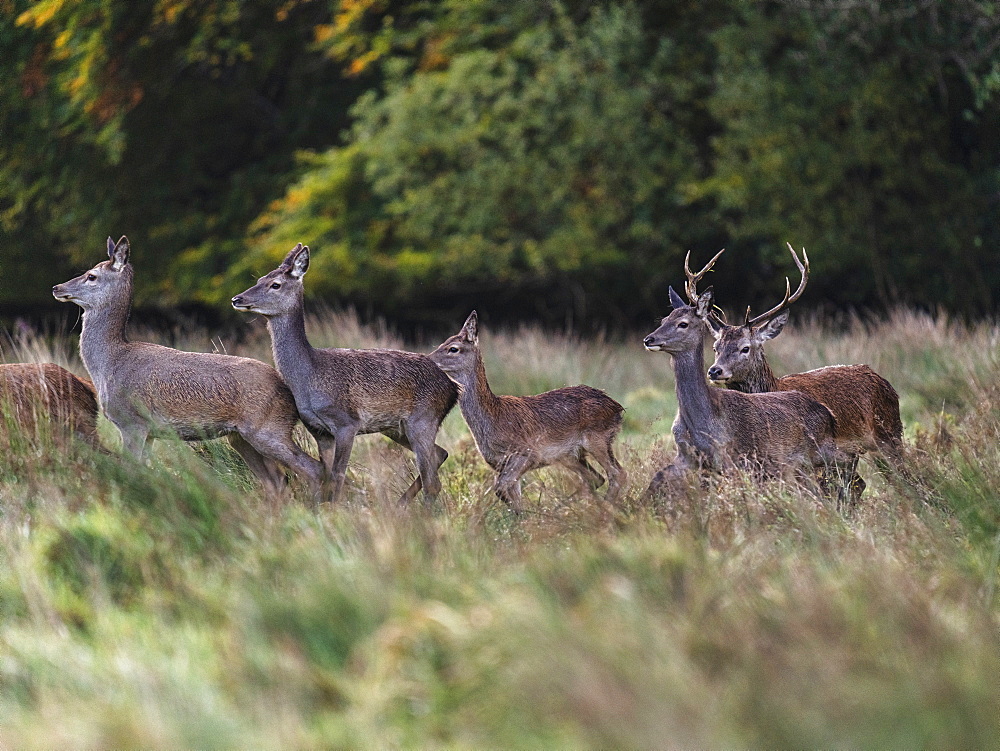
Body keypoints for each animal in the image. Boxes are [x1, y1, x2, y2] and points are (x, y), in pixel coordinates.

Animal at [230, 244, 458, 508]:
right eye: (258, 279)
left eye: (275, 284)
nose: (237, 299)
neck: (309, 377)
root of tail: (454, 389)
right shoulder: (319, 431)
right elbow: (327, 475)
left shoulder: (347, 422)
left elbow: (338, 475)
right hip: (396, 426)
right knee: (440, 454)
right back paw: (399, 506)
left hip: (423, 418)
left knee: (433, 481)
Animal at [428, 308, 624, 516]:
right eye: (442, 343)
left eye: (453, 348)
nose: (428, 359)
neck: (492, 417)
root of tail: (617, 407)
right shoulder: (500, 463)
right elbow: (512, 497)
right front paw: (523, 520)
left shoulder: (527, 453)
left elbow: (500, 488)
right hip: (571, 455)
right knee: (596, 478)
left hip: (598, 438)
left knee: (617, 474)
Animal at [704, 247, 908, 506]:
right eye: (715, 347)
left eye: (745, 348)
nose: (715, 370)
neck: (774, 387)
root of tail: (885, 382)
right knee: (858, 485)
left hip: (889, 433)